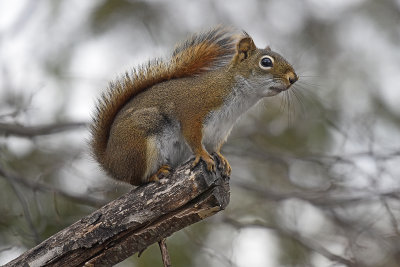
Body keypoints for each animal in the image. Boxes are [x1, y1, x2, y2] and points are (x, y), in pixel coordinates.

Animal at [90, 27, 296, 186]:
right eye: (266, 62)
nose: (293, 78)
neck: (240, 98)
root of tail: (110, 161)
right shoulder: (194, 111)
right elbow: (194, 137)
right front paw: (203, 155)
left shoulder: (221, 129)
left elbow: (215, 147)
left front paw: (221, 157)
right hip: (140, 145)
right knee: (136, 180)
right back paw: (155, 174)